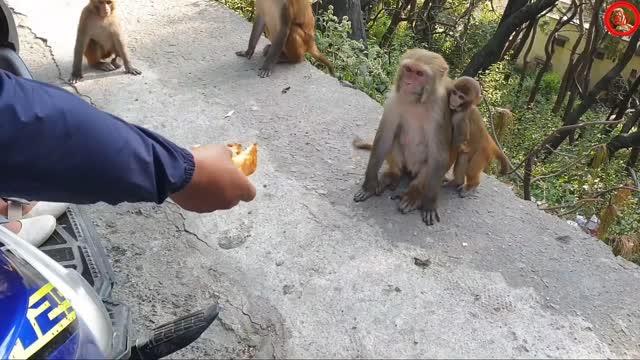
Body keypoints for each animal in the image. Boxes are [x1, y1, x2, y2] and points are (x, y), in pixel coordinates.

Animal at [352, 49, 452, 226]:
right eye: (409, 70)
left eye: (420, 74)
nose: (408, 83)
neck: (418, 102)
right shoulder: (394, 99)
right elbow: (385, 137)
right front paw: (369, 185)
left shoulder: (441, 110)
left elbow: (439, 156)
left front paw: (429, 204)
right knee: (394, 139)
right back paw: (393, 175)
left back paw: (415, 194)